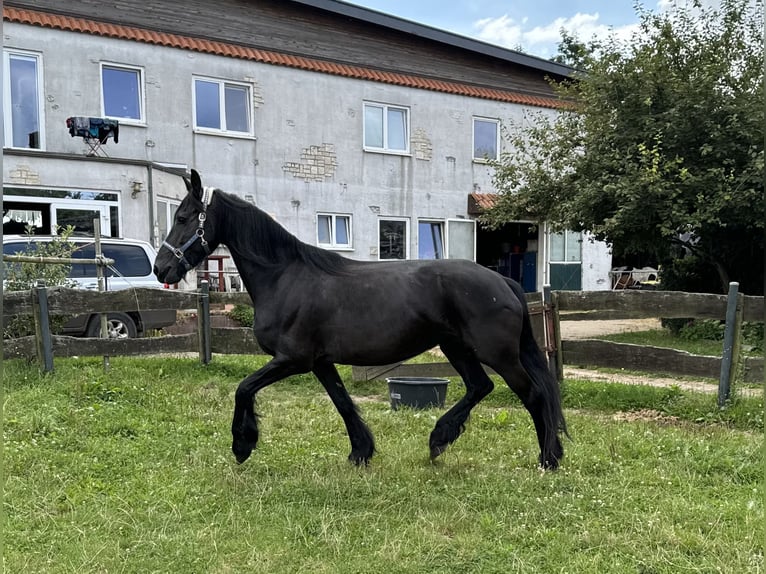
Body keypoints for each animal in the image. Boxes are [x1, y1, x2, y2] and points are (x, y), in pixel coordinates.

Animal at [153, 172, 568, 472]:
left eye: (183, 217)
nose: (161, 268)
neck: (285, 276)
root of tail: (504, 282)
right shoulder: (320, 363)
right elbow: (343, 402)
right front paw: (361, 452)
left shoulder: (292, 360)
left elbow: (243, 389)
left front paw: (243, 444)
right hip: (457, 347)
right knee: (481, 387)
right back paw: (440, 439)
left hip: (497, 354)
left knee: (533, 394)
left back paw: (547, 459)